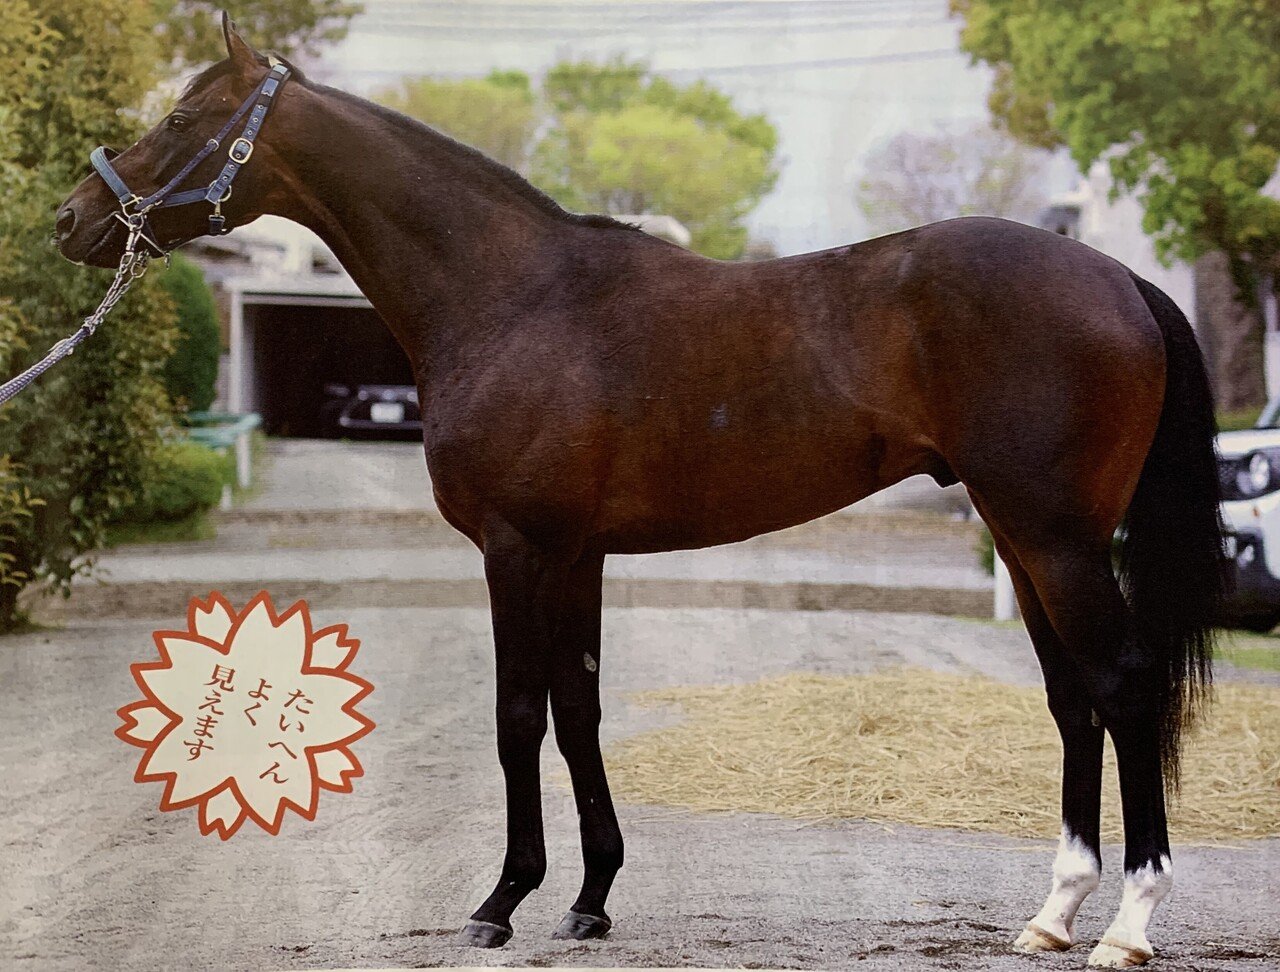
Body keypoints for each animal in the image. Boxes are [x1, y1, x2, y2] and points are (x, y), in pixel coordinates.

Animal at [54, 16, 1225, 968]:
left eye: (180, 114)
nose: (73, 220)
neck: (513, 295)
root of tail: (1118, 278)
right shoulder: (577, 552)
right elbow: (578, 712)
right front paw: (589, 900)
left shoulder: (516, 547)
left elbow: (516, 716)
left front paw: (500, 902)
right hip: (1022, 538)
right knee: (1072, 700)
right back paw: (1051, 916)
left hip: (1057, 538)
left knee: (1122, 688)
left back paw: (1126, 928)